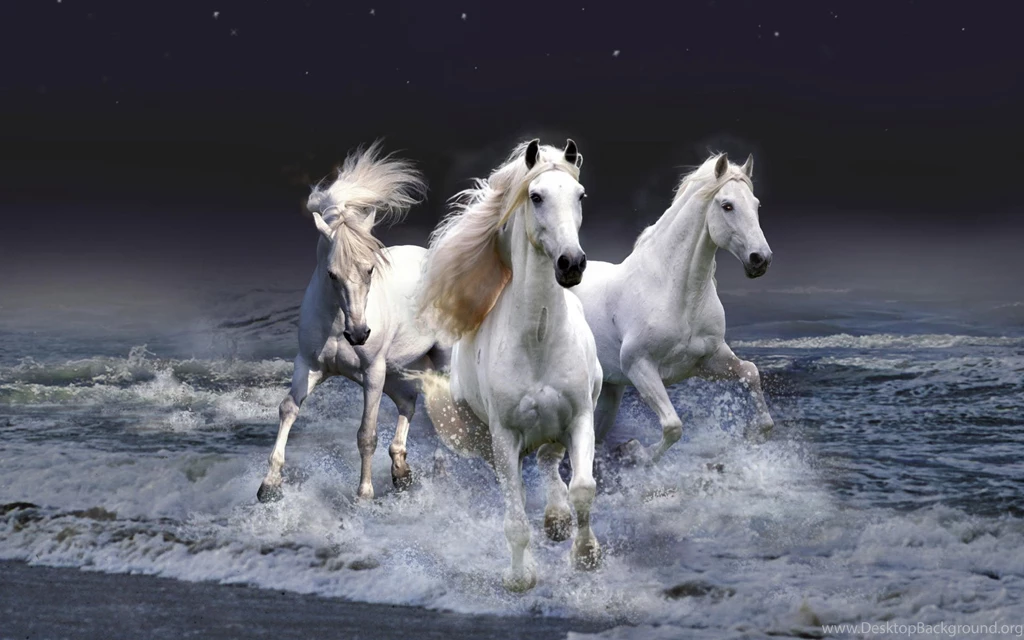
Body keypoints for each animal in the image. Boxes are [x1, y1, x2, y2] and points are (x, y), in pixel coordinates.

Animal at [257, 141, 450, 503]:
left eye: (370, 269)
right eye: (332, 273)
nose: (359, 334)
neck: (337, 324)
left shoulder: (372, 372)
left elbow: (366, 434)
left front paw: (364, 495)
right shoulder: (309, 365)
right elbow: (288, 409)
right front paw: (269, 485)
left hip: (437, 360)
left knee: (444, 409)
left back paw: (438, 469)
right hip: (398, 369)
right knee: (409, 402)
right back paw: (401, 472)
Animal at [412, 139, 603, 592]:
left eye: (580, 196)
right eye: (536, 197)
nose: (572, 264)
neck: (538, 339)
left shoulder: (580, 417)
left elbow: (583, 488)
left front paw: (586, 555)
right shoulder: (504, 437)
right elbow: (515, 518)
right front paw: (520, 578)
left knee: (550, 462)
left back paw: (557, 521)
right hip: (487, 438)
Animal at [571, 152, 775, 464]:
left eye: (756, 205)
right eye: (727, 205)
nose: (760, 259)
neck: (676, 294)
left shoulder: (707, 361)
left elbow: (751, 373)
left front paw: (752, 434)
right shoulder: (639, 366)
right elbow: (673, 426)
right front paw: (635, 452)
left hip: (609, 391)